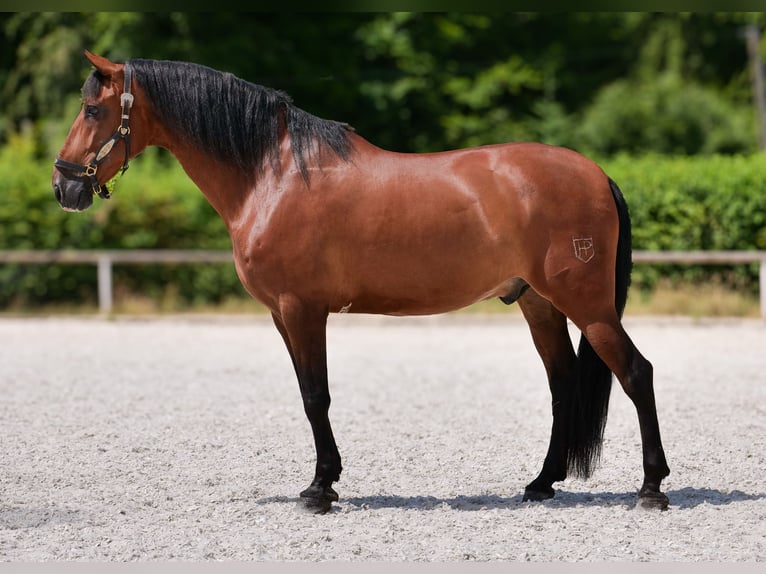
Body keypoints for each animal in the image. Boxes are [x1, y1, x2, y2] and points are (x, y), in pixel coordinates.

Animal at [52, 51, 670, 514]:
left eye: (92, 109)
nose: (65, 186)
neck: (272, 175)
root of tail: (596, 173)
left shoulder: (301, 309)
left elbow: (315, 396)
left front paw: (320, 488)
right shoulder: (283, 314)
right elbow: (309, 394)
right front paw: (324, 482)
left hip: (588, 305)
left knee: (636, 373)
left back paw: (651, 488)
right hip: (539, 302)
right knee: (562, 383)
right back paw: (541, 483)